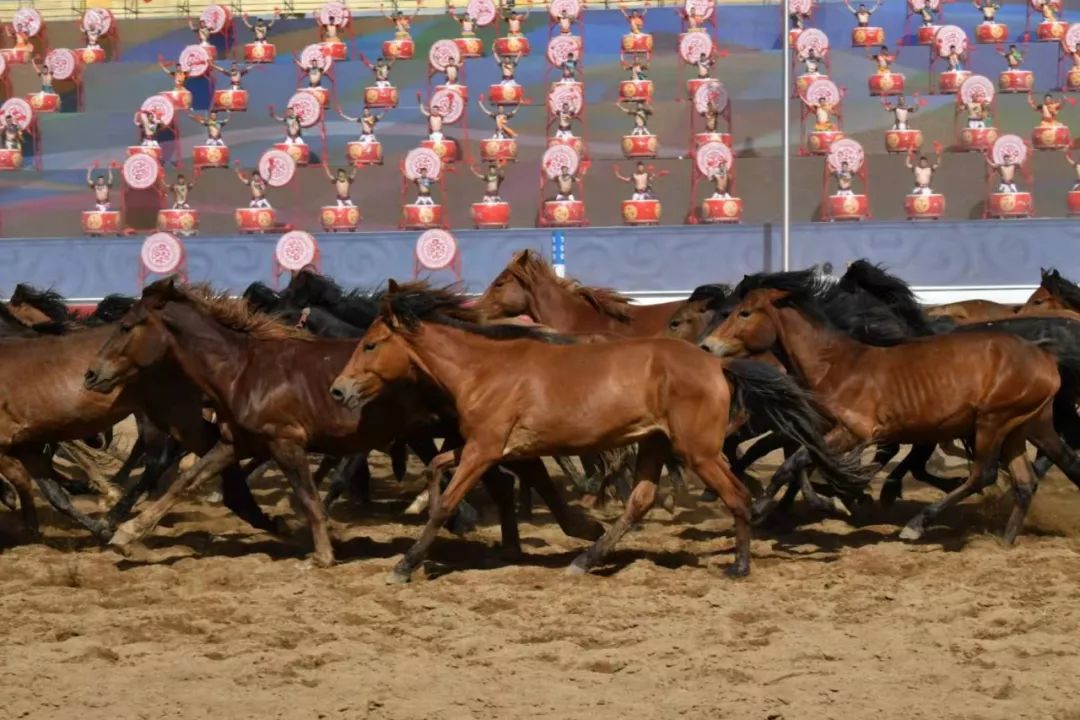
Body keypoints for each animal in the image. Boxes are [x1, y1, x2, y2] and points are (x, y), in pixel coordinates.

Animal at [85, 280, 604, 569]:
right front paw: (127, 535)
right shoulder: (235, 442)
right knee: (508, 481)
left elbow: (310, 500)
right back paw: (516, 543)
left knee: (523, 475)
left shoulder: (286, 442)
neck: (244, 369)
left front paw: (322, 554)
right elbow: (185, 483)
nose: (92, 374)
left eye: (126, 326)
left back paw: (570, 527)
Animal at [328, 282, 868, 587]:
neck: (483, 369)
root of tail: (717, 363)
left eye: (371, 344)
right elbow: (438, 471)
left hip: (697, 451)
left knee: (736, 495)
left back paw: (739, 566)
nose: (338, 390)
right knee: (640, 501)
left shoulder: (484, 449)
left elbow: (445, 500)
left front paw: (405, 565)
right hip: (655, 443)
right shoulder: (481, 446)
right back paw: (585, 561)